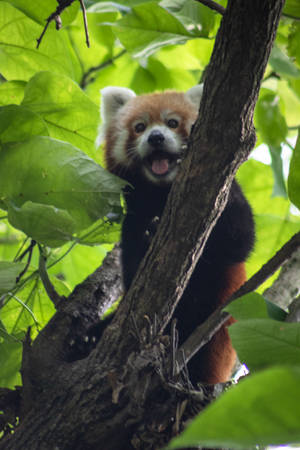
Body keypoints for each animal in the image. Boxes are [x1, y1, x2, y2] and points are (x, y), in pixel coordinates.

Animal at [99, 85, 254, 384]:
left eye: (172, 122)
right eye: (140, 127)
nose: (156, 137)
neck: (164, 193)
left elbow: (240, 241)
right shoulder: (133, 221)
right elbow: (133, 273)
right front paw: (150, 233)